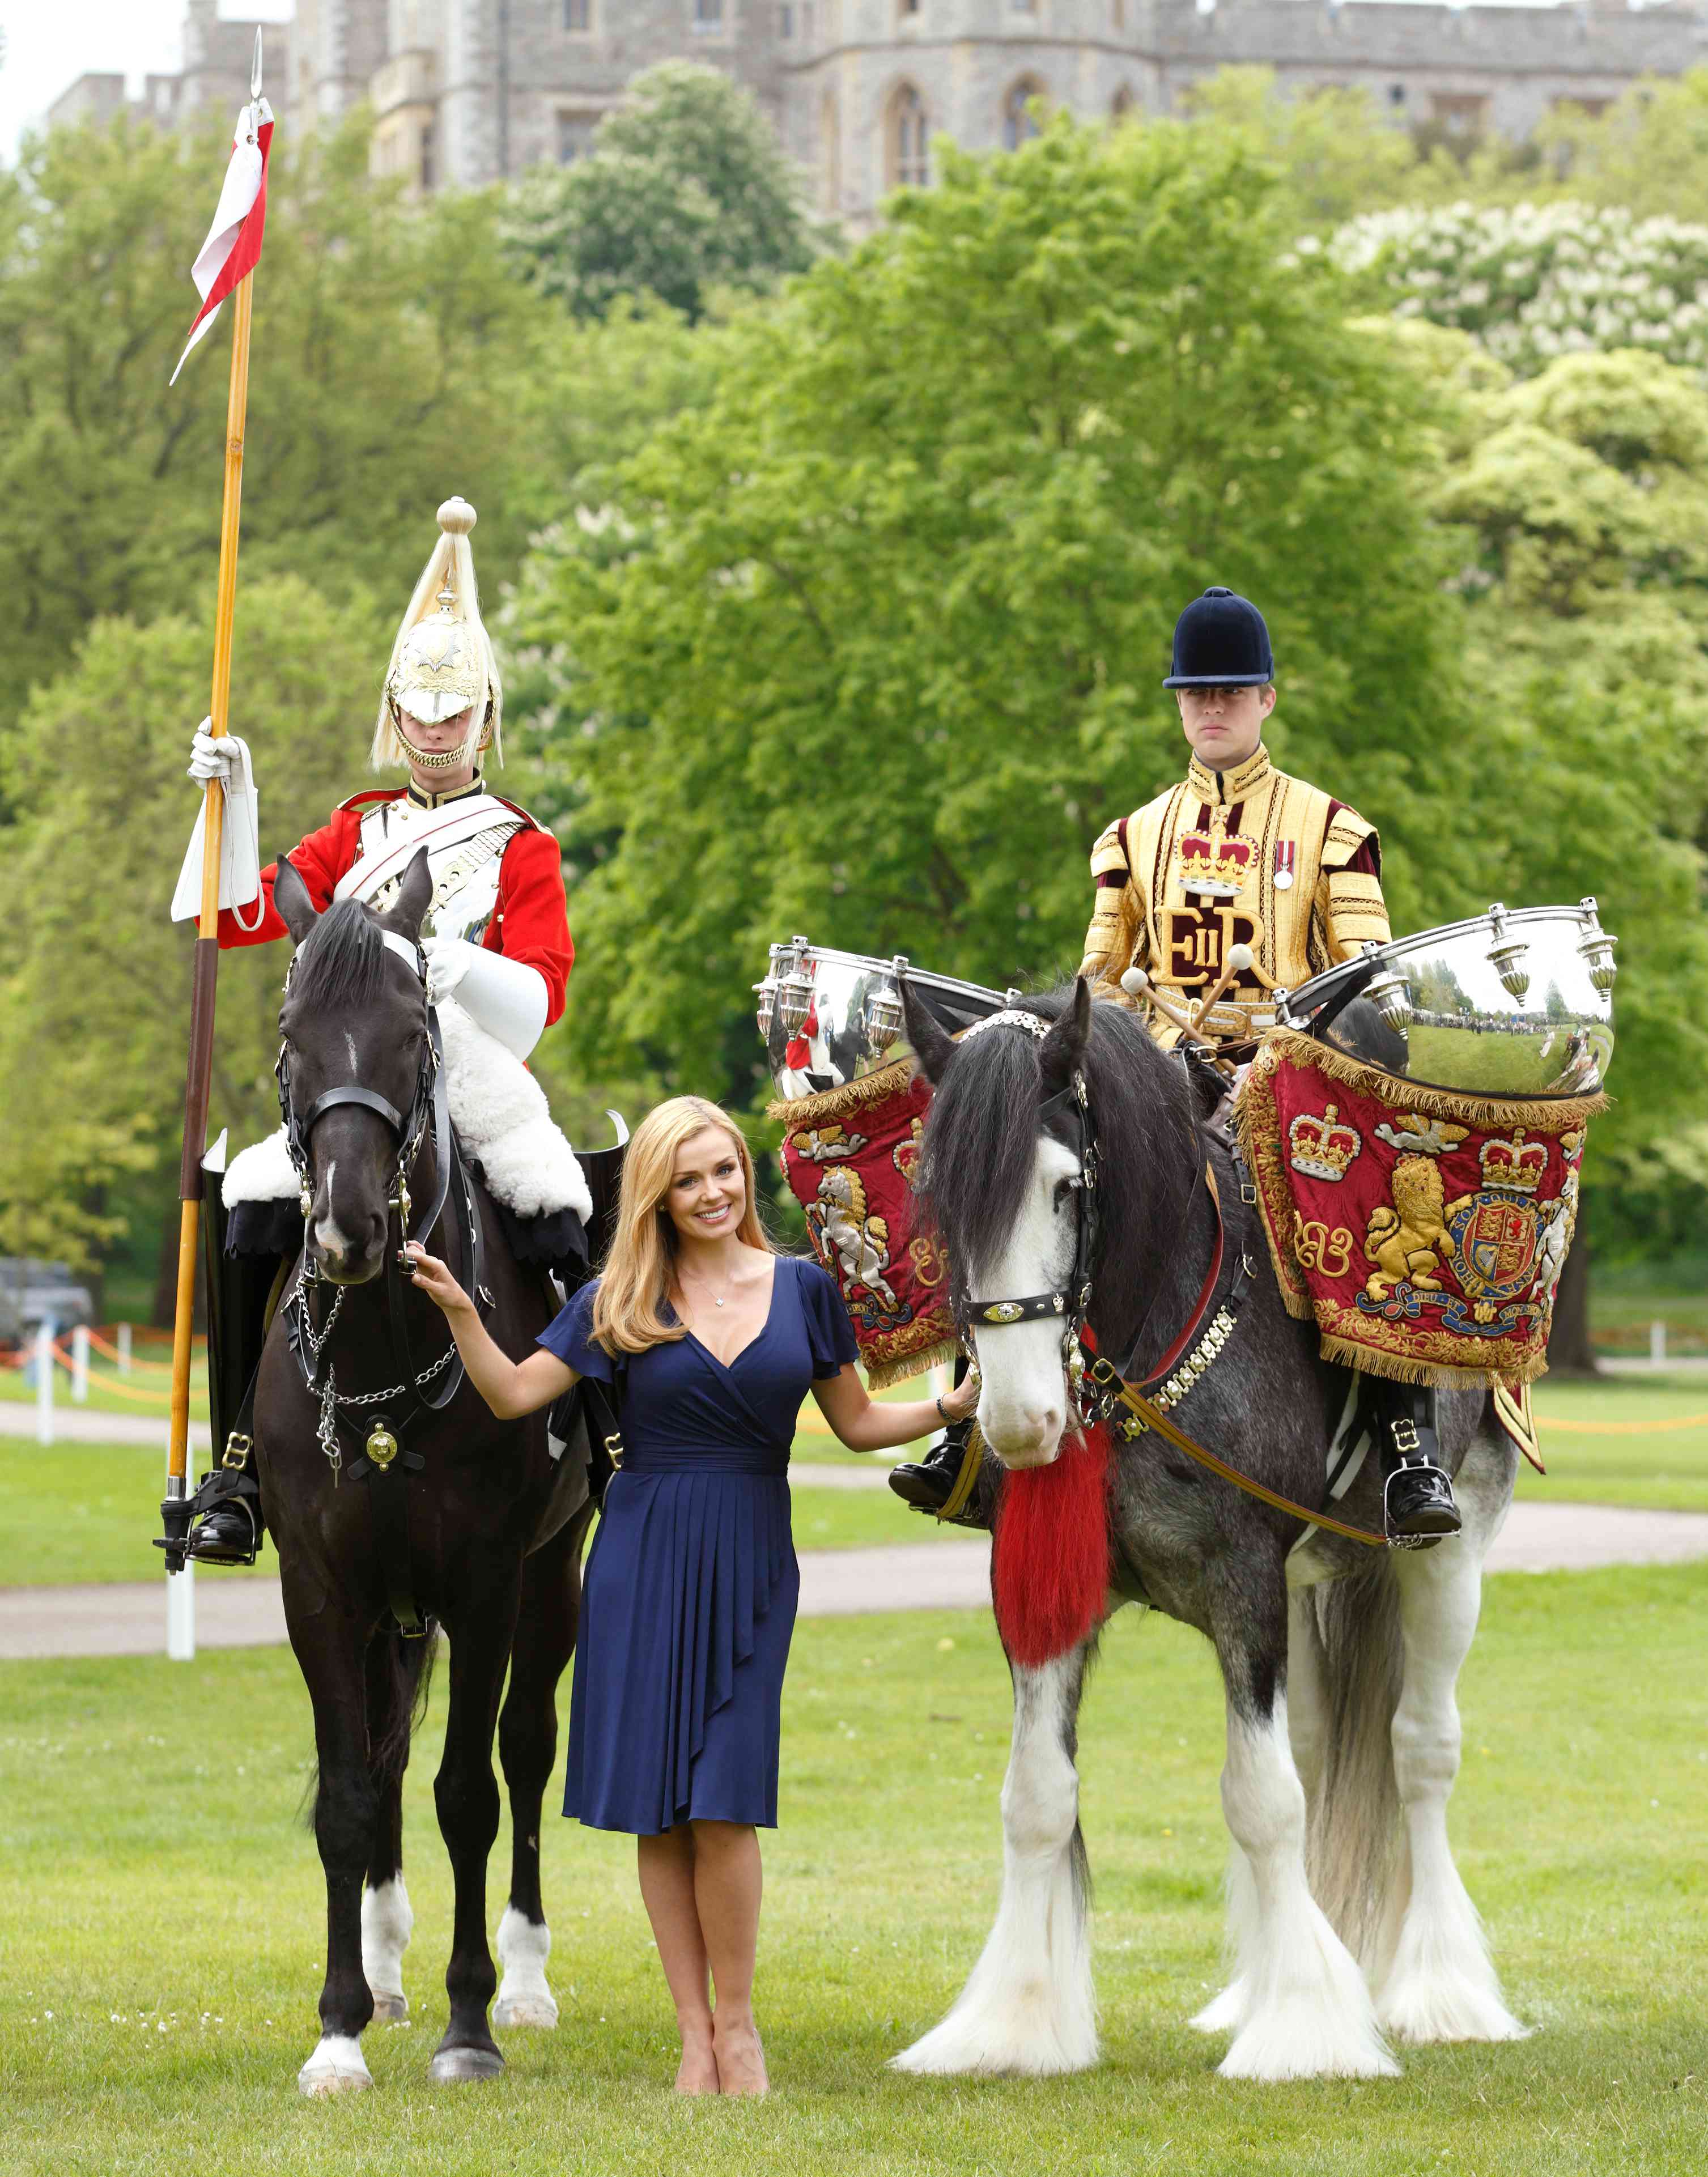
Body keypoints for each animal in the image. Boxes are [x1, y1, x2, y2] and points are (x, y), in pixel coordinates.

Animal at [260, 849, 592, 2090]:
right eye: (291, 1033)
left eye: (416, 1031)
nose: (350, 1229)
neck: (382, 1353)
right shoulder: (321, 1587)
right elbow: (352, 1794)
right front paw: (339, 2028)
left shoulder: (487, 1579)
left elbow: (470, 1794)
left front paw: (470, 2023)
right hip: (388, 1612)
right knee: (389, 1751)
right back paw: (384, 1964)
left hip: (550, 1576)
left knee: (526, 1753)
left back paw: (526, 1979)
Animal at [893, 984, 1525, 2072]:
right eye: (939, 1196)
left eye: (1064, 1188)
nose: (1018, 1420)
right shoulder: (1044, 1587)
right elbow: (1036, 1796)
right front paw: (1011, 2023)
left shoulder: (1244, 1581)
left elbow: (1261, 1800)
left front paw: (1304, 2032)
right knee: (1319, 1747)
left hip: (1447, 1552)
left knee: (1418, 1748)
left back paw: (1438, 1993)